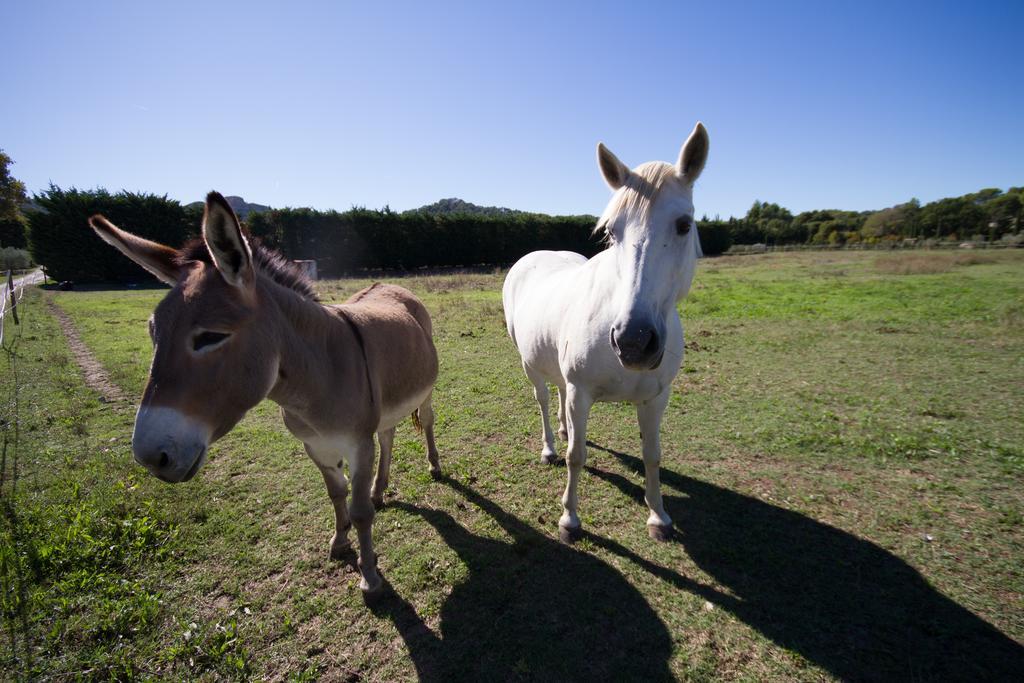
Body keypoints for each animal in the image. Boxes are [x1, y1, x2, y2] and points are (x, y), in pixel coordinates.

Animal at [499, 121, 708, 540]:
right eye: (612, 231)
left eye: (684, 224)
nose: (634, 342)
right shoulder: (582, 393)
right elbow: (576, 457)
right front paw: (569, 519)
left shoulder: (656, 398)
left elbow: (652, 455)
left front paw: (659, 517)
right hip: (529, 365)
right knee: (544, 400)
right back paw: (550, 445)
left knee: (558, 395)